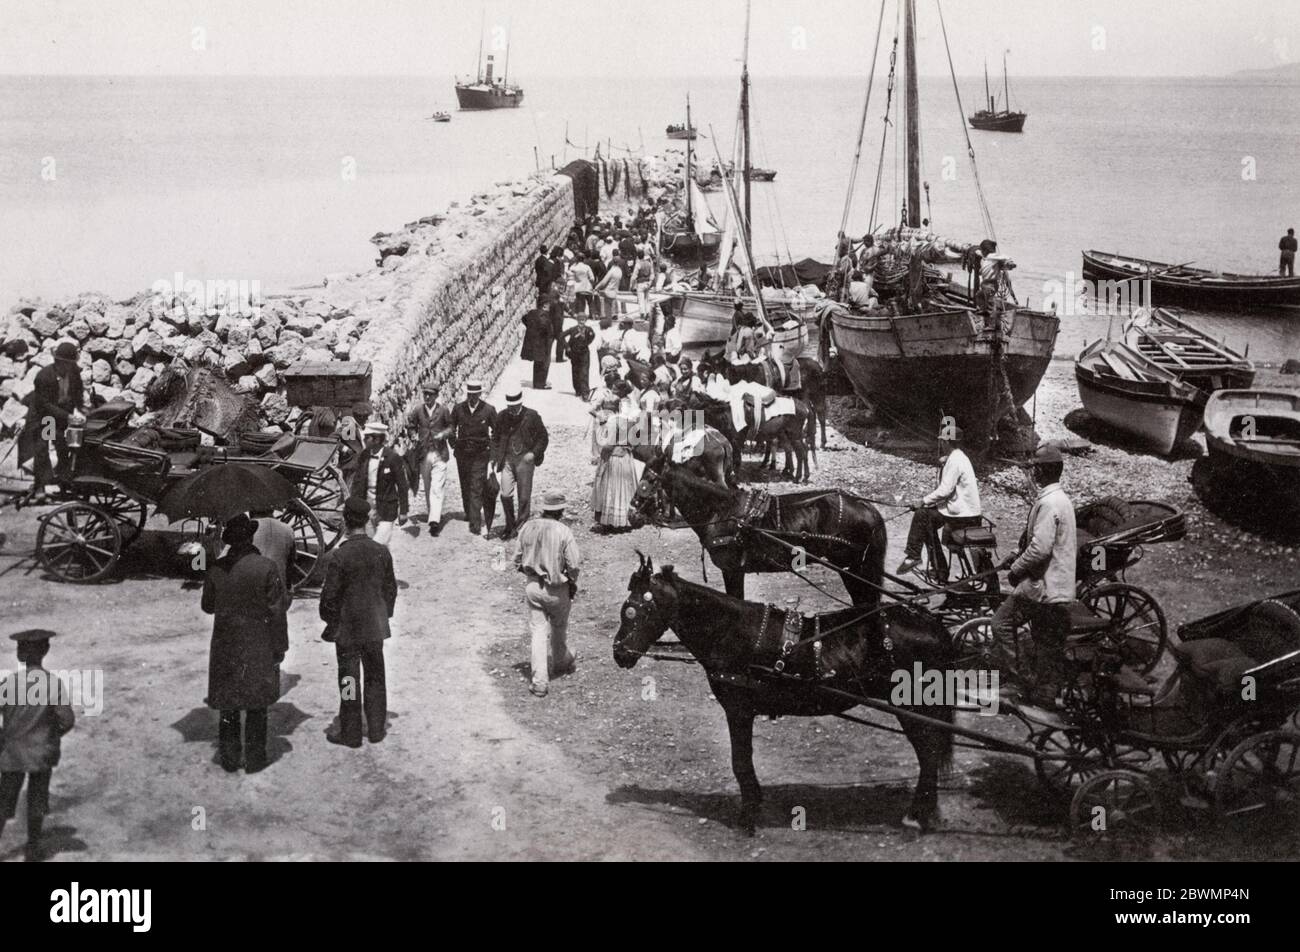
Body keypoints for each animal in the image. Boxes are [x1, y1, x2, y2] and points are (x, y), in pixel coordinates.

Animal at [608, 556, 956, 832]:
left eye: (633, 611)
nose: (619, 653)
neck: (732, 632)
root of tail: (933, 624)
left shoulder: (738, 709)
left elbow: (740, 761)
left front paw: (748, 816)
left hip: (912, 706)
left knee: (928, 754)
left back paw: (916, 816)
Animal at [624, 460, 889, 606]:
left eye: (647, 481)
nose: (631, 513)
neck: (721, 512)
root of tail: (867, 507)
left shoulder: (732, 570)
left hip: (852, 567)